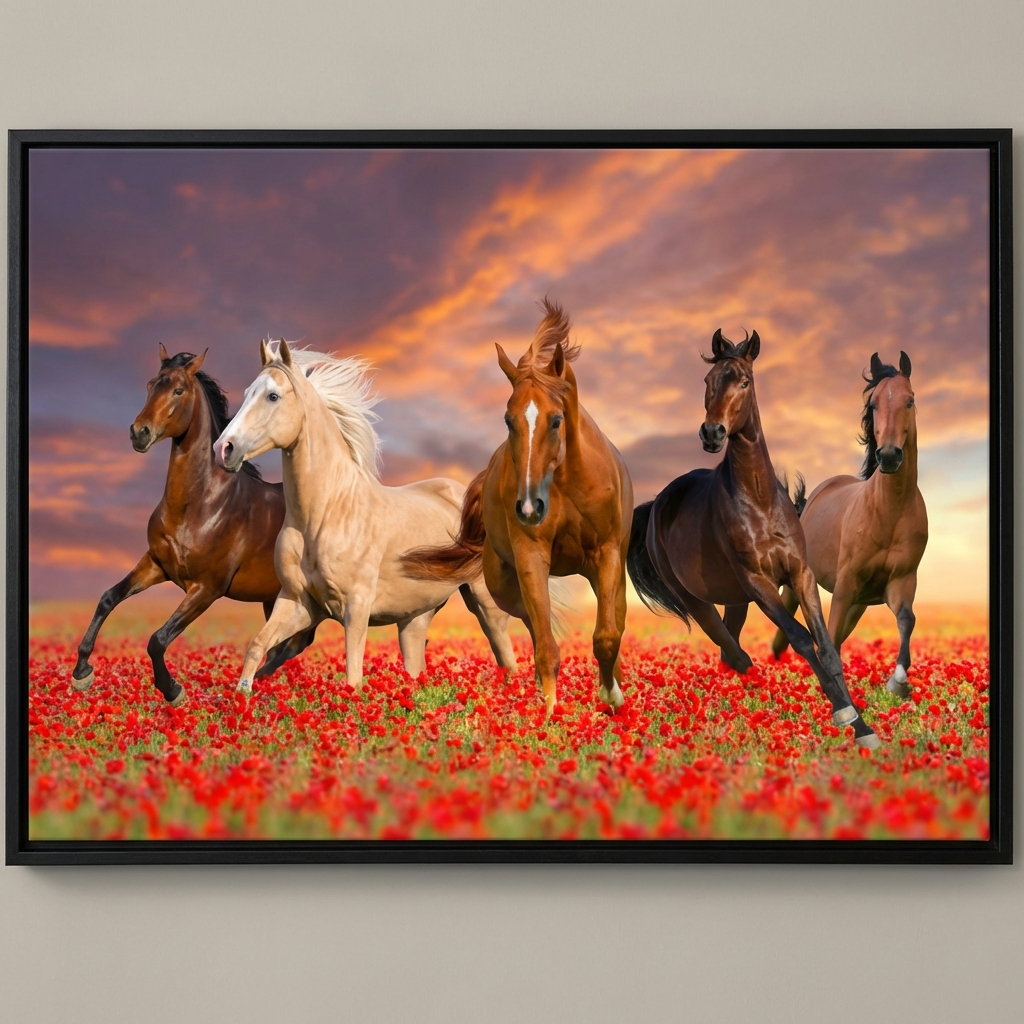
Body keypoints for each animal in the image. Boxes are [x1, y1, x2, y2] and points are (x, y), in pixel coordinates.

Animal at [70, 345, 313, 706]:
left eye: (179, 390)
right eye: (151, 384)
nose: (139, 433)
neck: (199, 506)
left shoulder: (206, 589)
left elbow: (158, 639)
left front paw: (173, 691)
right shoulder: (156, 564)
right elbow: (108, 598)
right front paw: (82, 673)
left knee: (296, 642)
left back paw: (249, 686)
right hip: (273, 599)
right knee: (284, 642)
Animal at [211, 339, 516, 694]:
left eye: (272, 396)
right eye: (247, 392)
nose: (224, 449)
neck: (325, 515)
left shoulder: (356, 606)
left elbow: (353, 675)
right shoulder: (299, 602)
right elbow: (257, 645)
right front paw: (243, 694)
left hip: (484, 601)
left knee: (507, 653)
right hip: (415, 618)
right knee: (417, 667)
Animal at [402, 300, 634, 719]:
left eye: (556, 420)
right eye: (508, 421)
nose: (528, 507)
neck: (567, 482)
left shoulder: (607, 553)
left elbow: (608, 636)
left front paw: (612, 697)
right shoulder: (531, 555)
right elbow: (546, 647)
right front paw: (551, 713)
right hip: (505, 586)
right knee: (532, 626)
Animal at [626, 328, 880, 749]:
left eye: (744, 381)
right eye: (708, 381)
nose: (712, 433)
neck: (759, 501)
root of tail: (657, 503)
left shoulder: (800, 574)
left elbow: (825, 645)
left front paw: (862, 727)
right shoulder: (757, 581)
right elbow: (800, 637)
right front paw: (844, 713)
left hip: (734, 600)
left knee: (731, 653)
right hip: (697, 600)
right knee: (734, 653)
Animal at [771, 352, 928, 698]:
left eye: (910, 401)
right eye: (874, 404)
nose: (889, 456)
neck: (888, 511)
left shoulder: (901, 582)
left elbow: (907, 619)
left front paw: (898, 681)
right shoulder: (845, 584)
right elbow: (827, 639)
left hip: (859, 604)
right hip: (800, 589)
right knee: (787, 640)